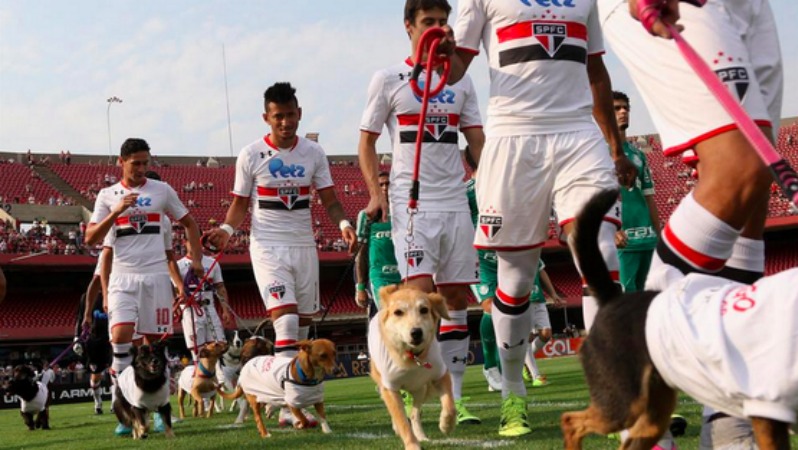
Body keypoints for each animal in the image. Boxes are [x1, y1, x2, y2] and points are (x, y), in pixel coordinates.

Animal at [368, 284, 456, 450]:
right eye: (398, 312)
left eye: (424, 310)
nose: (416, 332)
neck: (412, 357)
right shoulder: (390, 388)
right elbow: (402, 421)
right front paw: (412, 445)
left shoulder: (440, 374)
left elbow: (450, 405)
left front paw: (446, 425)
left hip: (420, 388)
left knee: (414, 413)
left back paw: (421, 436)